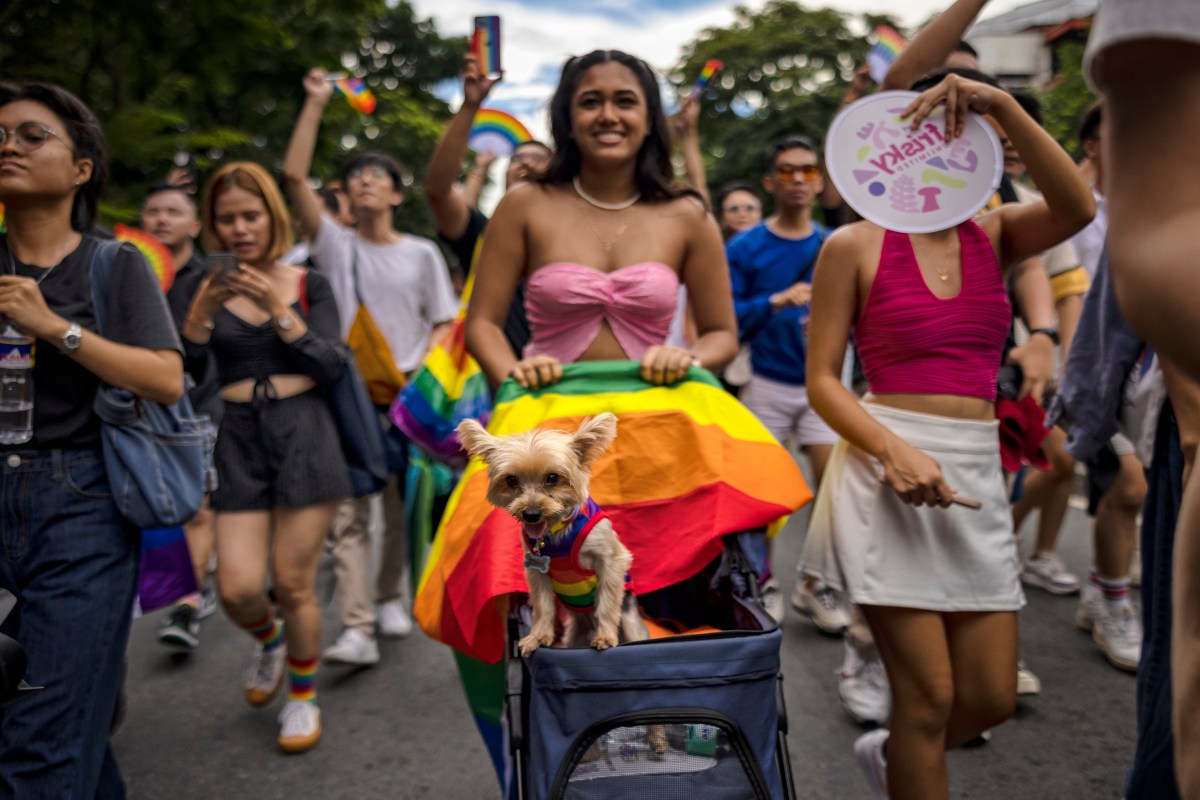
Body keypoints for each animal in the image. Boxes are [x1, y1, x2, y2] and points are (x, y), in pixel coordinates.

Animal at [456, 412, 648, 657]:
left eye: (552, 478)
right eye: (511, 480)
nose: (531, 514)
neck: (554, 533)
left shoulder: (612, 561)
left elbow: (607, 601)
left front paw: (605, 636)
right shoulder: (536, 573)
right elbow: (542, 606)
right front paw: (538, 637)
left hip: (632, 625)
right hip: (574, 635)